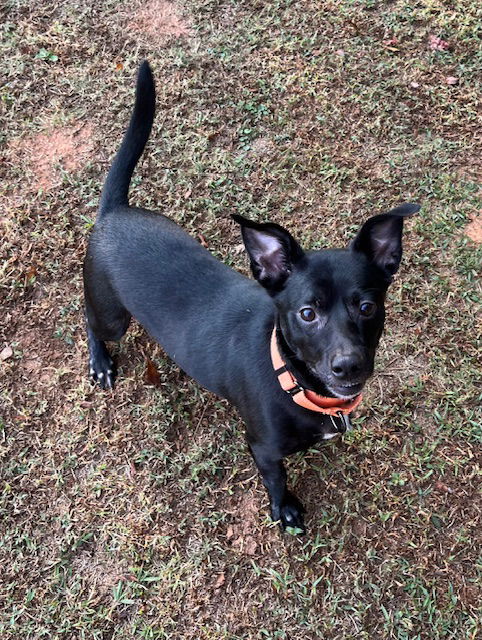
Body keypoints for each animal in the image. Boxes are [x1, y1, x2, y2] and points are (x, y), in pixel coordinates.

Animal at [83, 62, 418, 532]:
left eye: (367, 307)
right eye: (307, 313)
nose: (349, 365)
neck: (291, 378)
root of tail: (114, 211)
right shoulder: (262, 449)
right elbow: (276, 480)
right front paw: (285, 510)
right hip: (112, 315)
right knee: (90, 321)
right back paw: (100, 362)